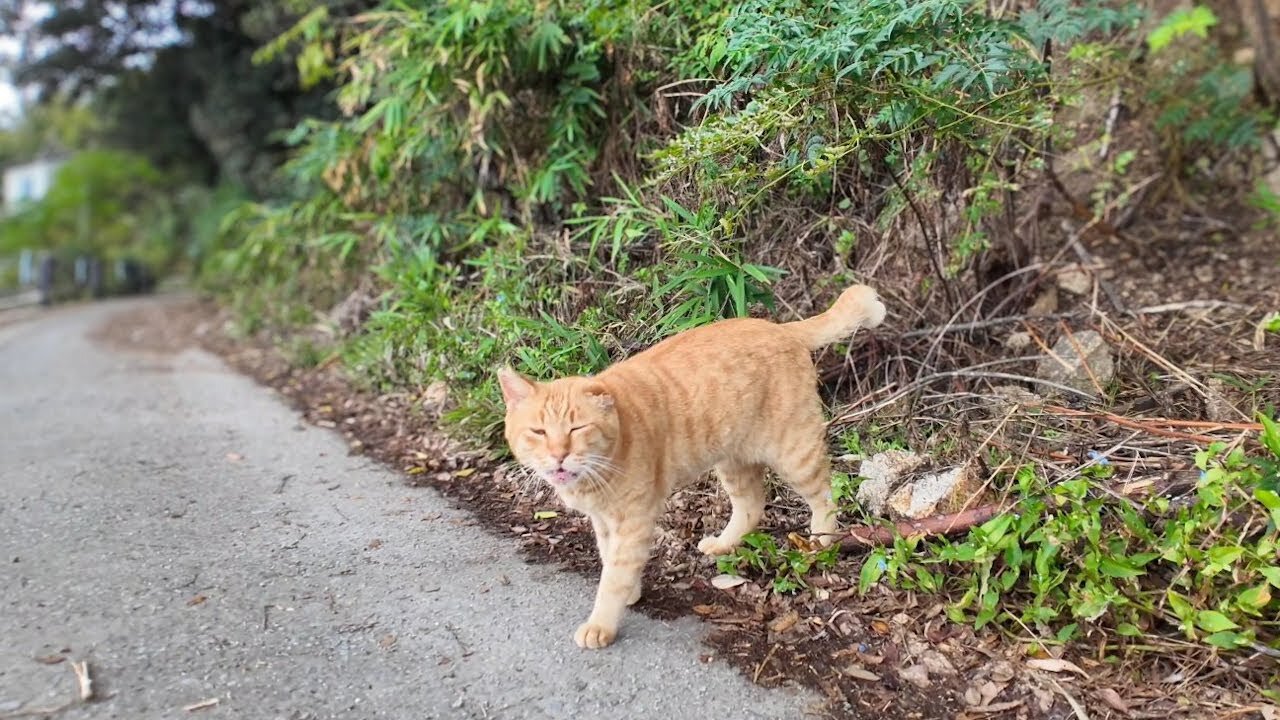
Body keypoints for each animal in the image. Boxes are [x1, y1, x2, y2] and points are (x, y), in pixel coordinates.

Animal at [494, 283, 885, 648]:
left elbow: (614, 575)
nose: (558, 454)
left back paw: (820, 541)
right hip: (732, 461)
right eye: (539, 432)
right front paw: (630, 592)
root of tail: (781, 328)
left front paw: (601, 624)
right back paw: (723, 544)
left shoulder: (633, 519)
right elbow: (609, 558)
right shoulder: (603, 521)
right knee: (752, 506)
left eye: (577, 429)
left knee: (826, 496)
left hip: (794, 452)